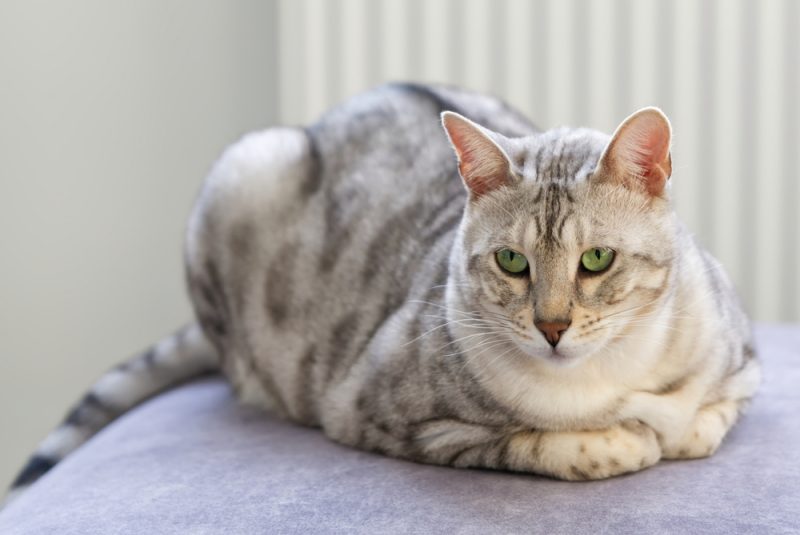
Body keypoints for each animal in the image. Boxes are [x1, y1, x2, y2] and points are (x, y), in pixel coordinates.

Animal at [7, 84, 764, 502]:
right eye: (511, 261)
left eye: (597, 260)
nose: (551, 326)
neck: (610, 377)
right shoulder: (382, 410)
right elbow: (549, 443)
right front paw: (627, 440)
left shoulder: (746, 365)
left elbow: (706, 419)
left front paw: (676, 425)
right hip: (240, 174)